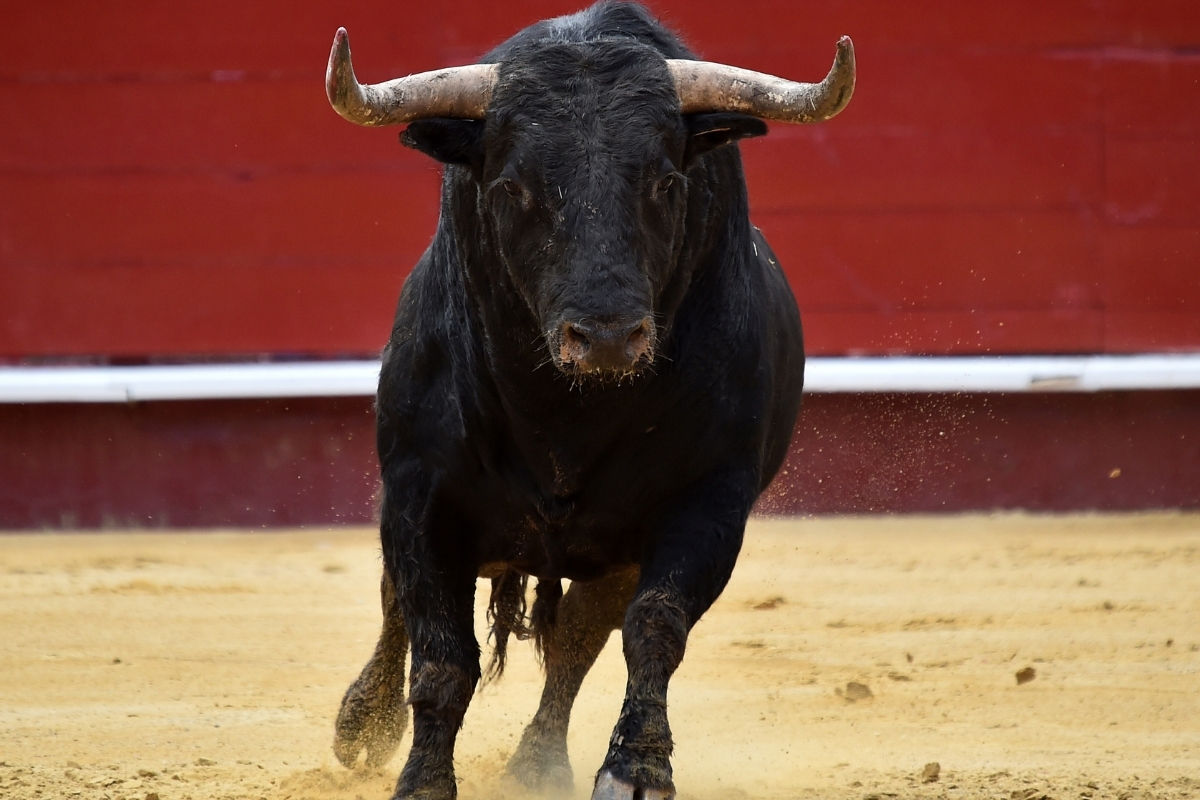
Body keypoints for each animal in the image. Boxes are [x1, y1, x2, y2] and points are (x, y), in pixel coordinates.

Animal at [323, 3, 853, 799]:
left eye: (666, 182)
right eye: (513, 186)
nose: (605, 335)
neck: (563, 416)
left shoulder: (708, 502)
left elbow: (652, 629)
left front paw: (637, 768)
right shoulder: (419, 495)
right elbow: (442, 655)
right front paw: (420, 780)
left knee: (578, 642)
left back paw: (537, 764)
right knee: (399, 608)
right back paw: (361, 726)